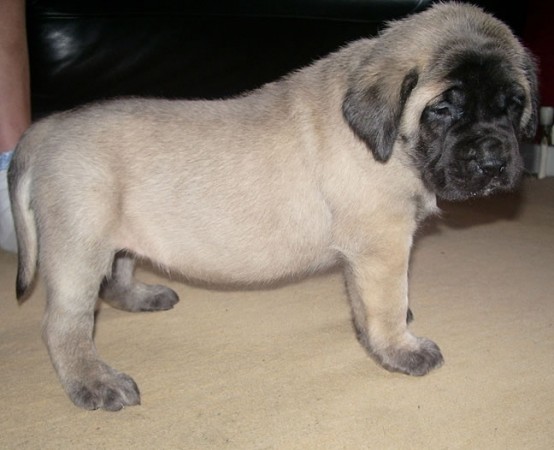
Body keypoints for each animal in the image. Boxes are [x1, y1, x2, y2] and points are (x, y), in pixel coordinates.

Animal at [8, 2, 536, 412]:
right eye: (443, 108)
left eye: (514, 104)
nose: (494, 160)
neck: (388, 146)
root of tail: (45, 128)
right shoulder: (384, 246)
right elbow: (387, 303)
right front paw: (400, 349)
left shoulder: (364, 253)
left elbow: (364, 301)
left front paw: (371, 334)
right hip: (79, 248)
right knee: (64, 326)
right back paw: (94, 383)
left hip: (112, 239)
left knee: (115, 277)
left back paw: (139, 297)